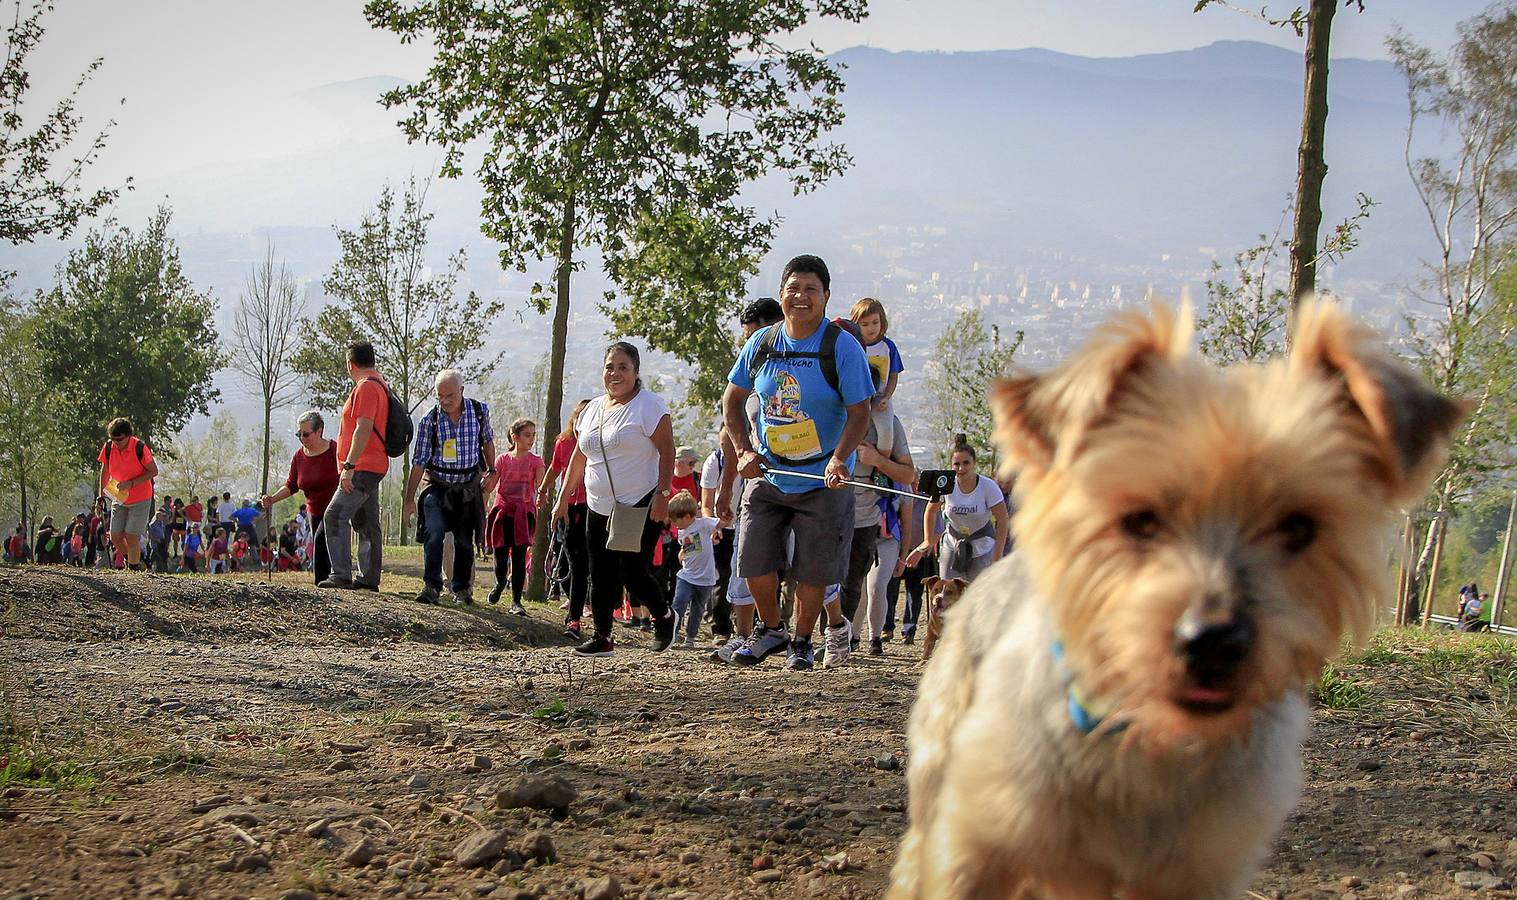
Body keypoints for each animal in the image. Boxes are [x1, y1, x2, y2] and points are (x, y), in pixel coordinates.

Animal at [885, 303, 1456, 898]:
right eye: (1139, 519)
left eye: (1299, 527)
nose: (1213, 642)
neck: (1143, 737)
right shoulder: (981, 833)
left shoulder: (1196, 867)